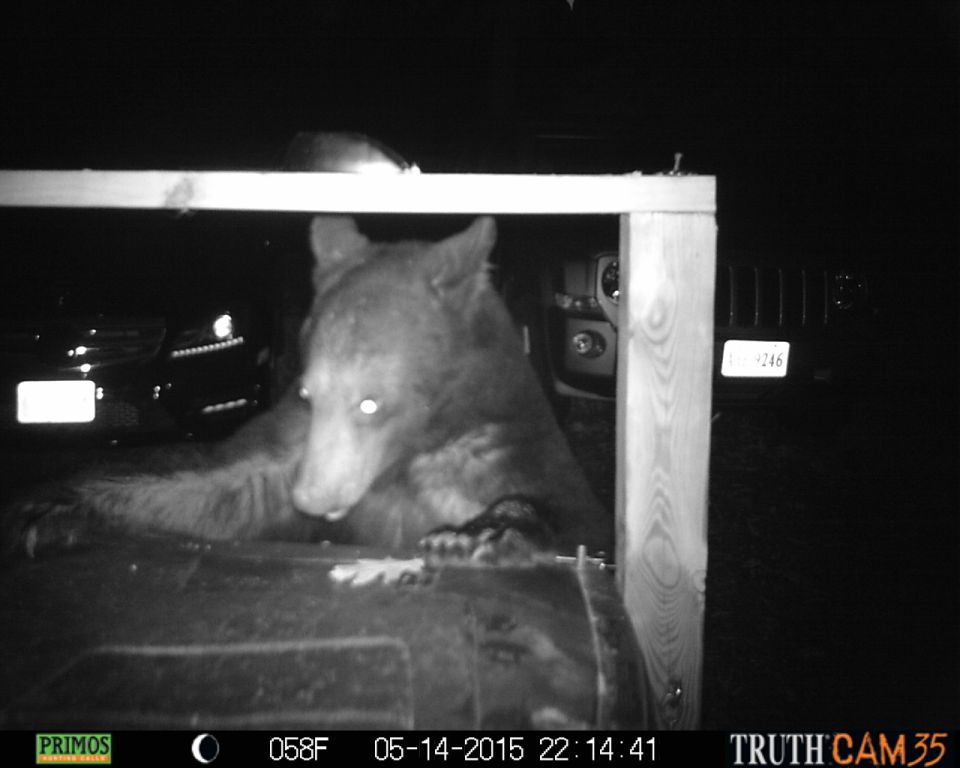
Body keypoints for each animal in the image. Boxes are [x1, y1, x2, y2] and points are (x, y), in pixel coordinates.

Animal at [4, 216, 610, 564]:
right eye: (307, 395)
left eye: (372, 401)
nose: (315, 497)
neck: (405, 457)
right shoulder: (298, 445)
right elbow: (222, 491)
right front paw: (55, 510)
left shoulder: (506, 450)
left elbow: (577, 518)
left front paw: (475, 533)